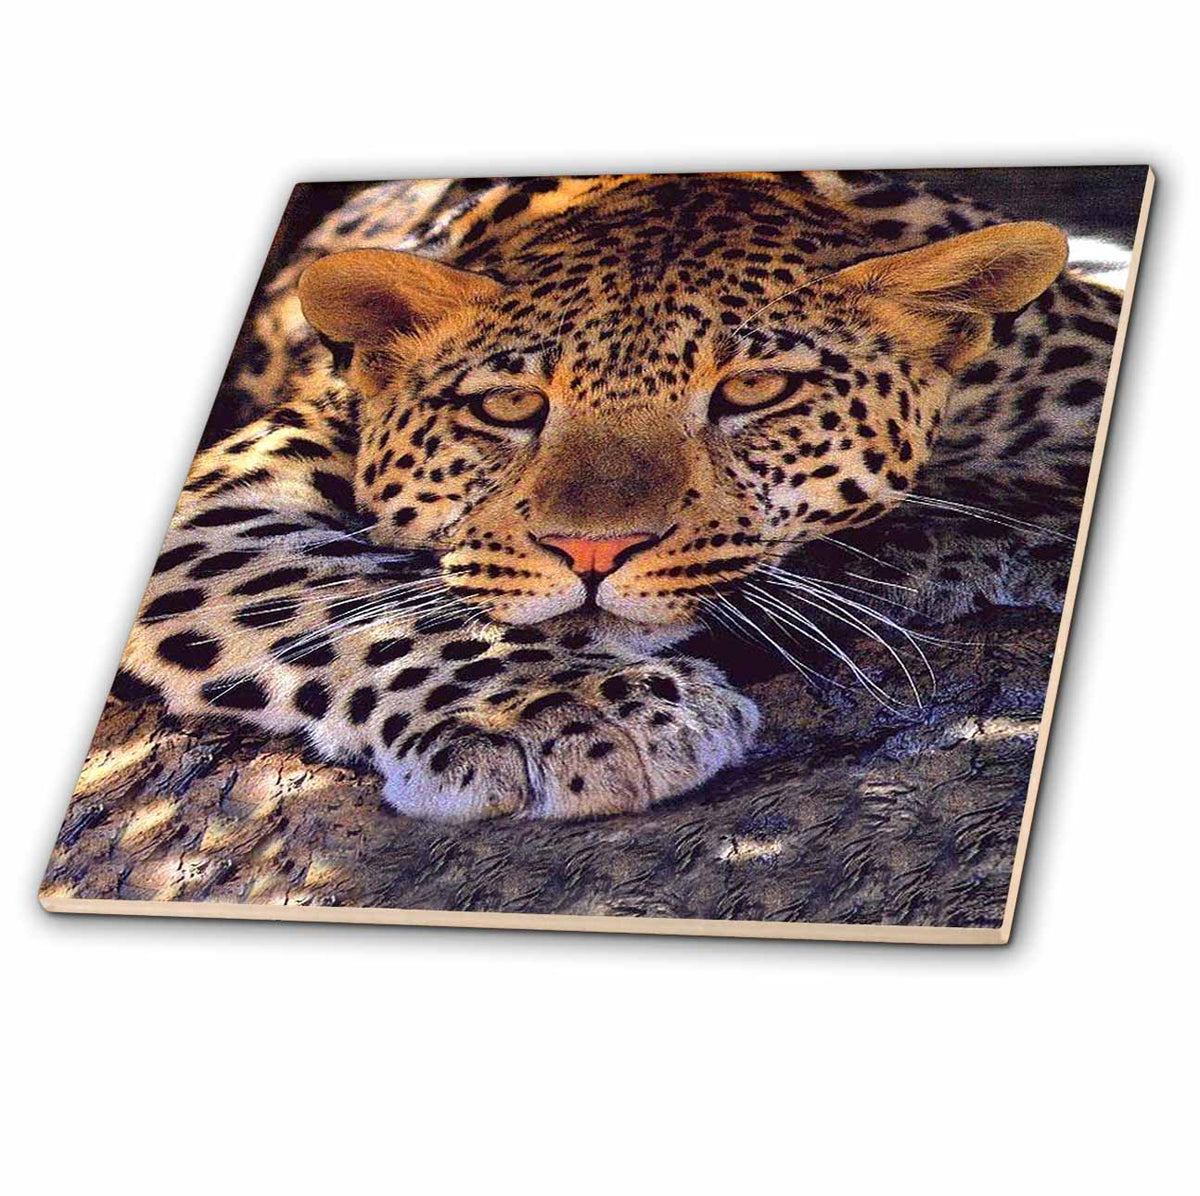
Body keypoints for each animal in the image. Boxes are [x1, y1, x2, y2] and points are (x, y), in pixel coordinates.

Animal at [115, 171, 1121, 822]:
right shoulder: (229, 488)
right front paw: (572, 715)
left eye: (753, 391)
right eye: (510, 406)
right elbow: (357, 604)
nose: (592, 553)